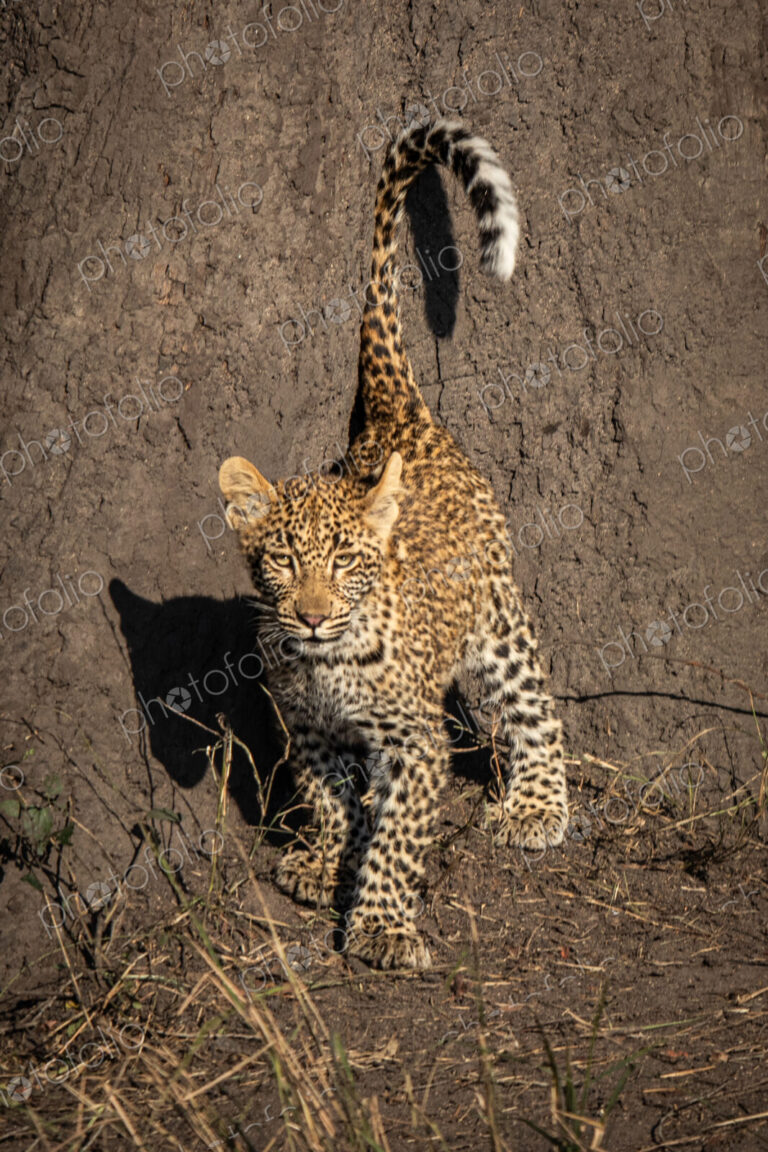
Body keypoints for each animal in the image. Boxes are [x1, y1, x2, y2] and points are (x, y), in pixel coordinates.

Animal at [218, 117, 568, 970]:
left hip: (496, 615)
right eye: (283, 560)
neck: (325, 663)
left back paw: (538, 805)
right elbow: (329, 799)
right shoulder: (309, 731)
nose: (312, 616)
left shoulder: (415, 742)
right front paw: (323, 861)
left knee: (532, 701)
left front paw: (378, 923)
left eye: (346, 561)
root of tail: (396, 411)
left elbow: (398, 839)